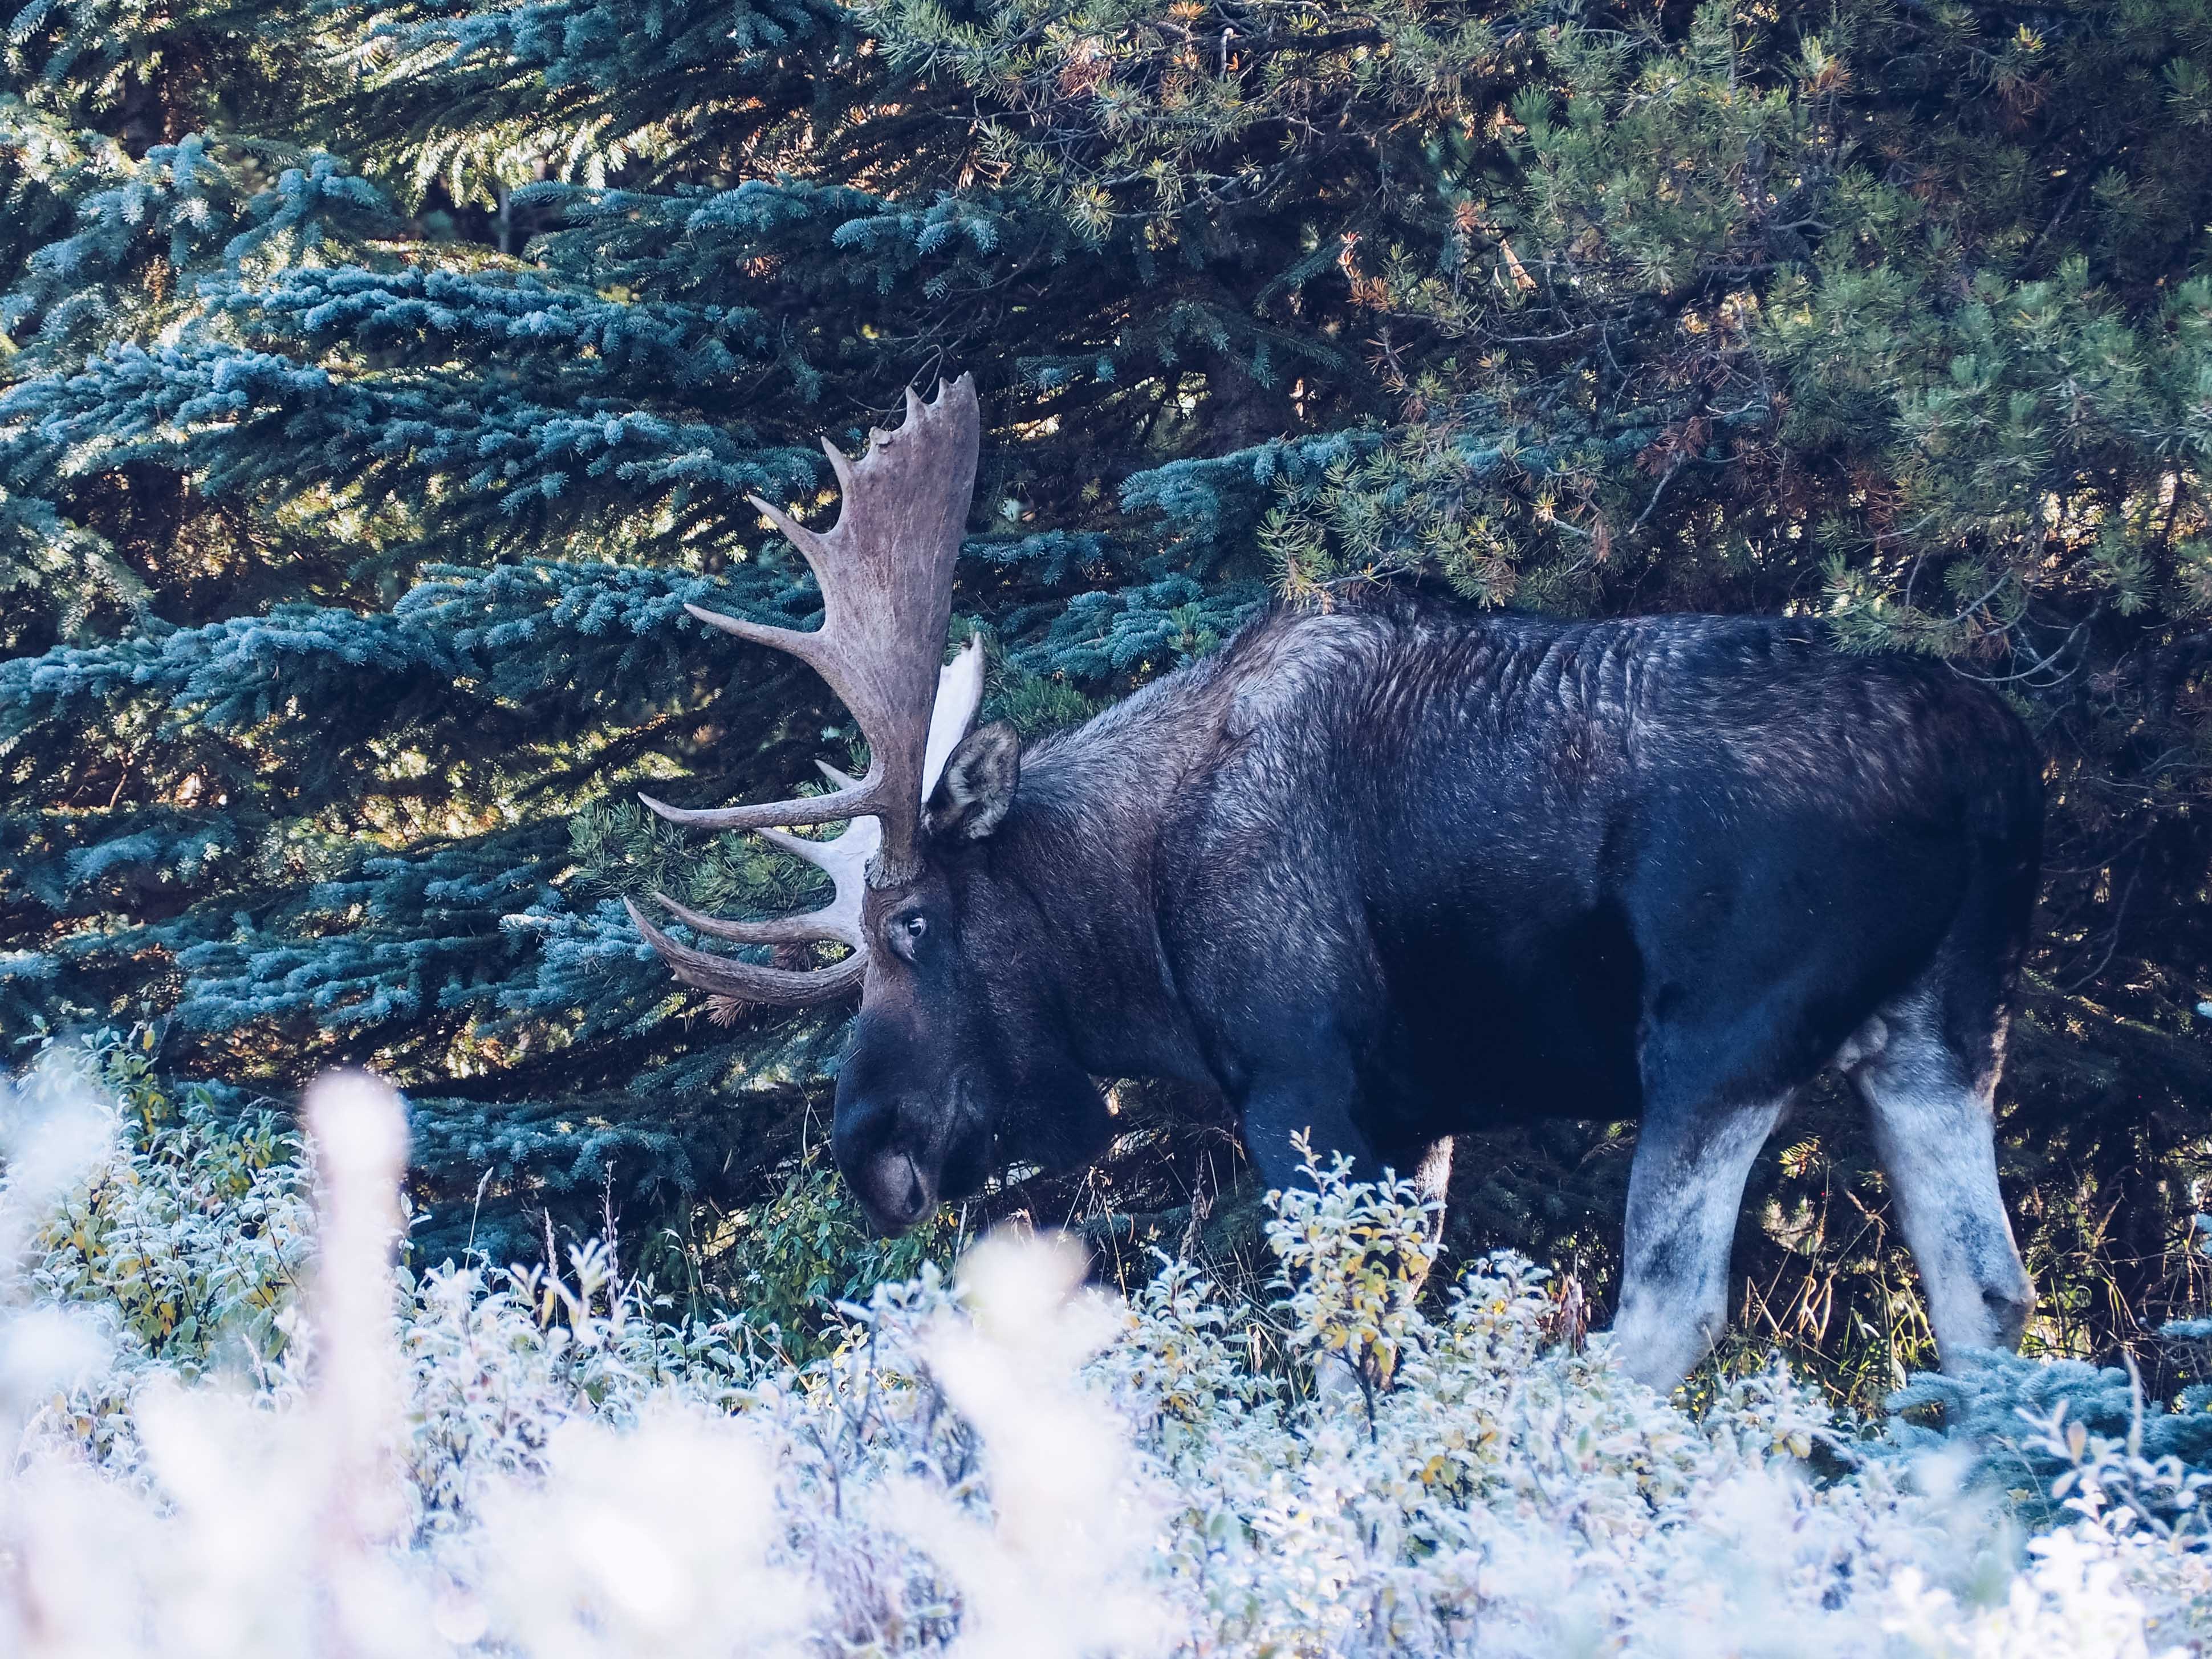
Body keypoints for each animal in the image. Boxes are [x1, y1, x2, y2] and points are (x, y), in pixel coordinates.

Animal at [624, 380, 2035, 1389]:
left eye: (911, 923)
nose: (866, 1155)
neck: (1137, 918)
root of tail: (1981, 756)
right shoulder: (1416, 1123)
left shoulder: (1299, 1088)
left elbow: (1344, 1349)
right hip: (1941, 1033)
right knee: (1986, 1300)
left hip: (1714, 1036)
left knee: (1666, 1314)